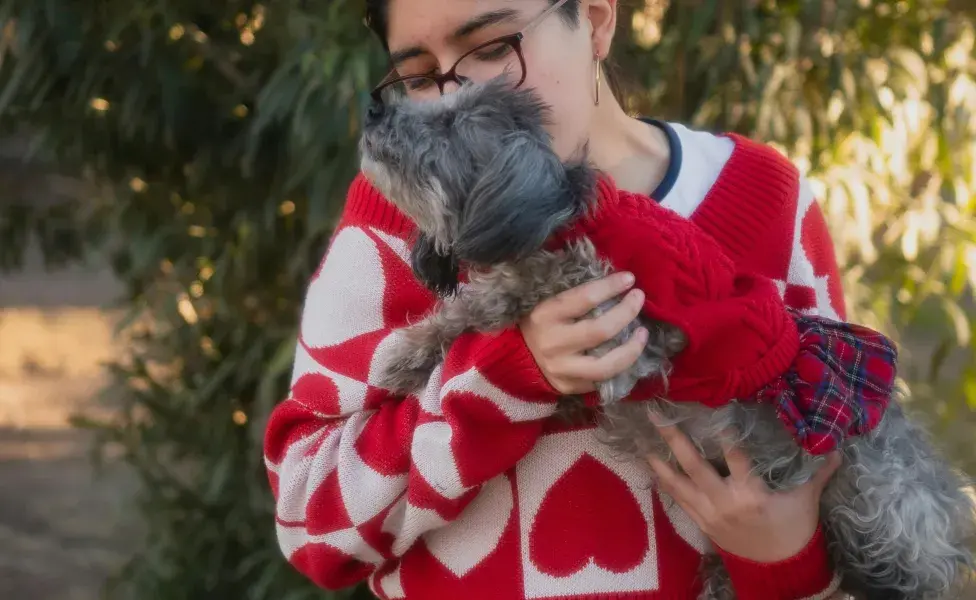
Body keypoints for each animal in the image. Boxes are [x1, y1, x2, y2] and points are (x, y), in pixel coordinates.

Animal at [358, 79, 976, 600]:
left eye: (449, 121)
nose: (374, 107)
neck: (566, 215)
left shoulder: (646, 323)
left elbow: (524, 290)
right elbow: (476, 308)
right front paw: (415, 352)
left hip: (876, 507)